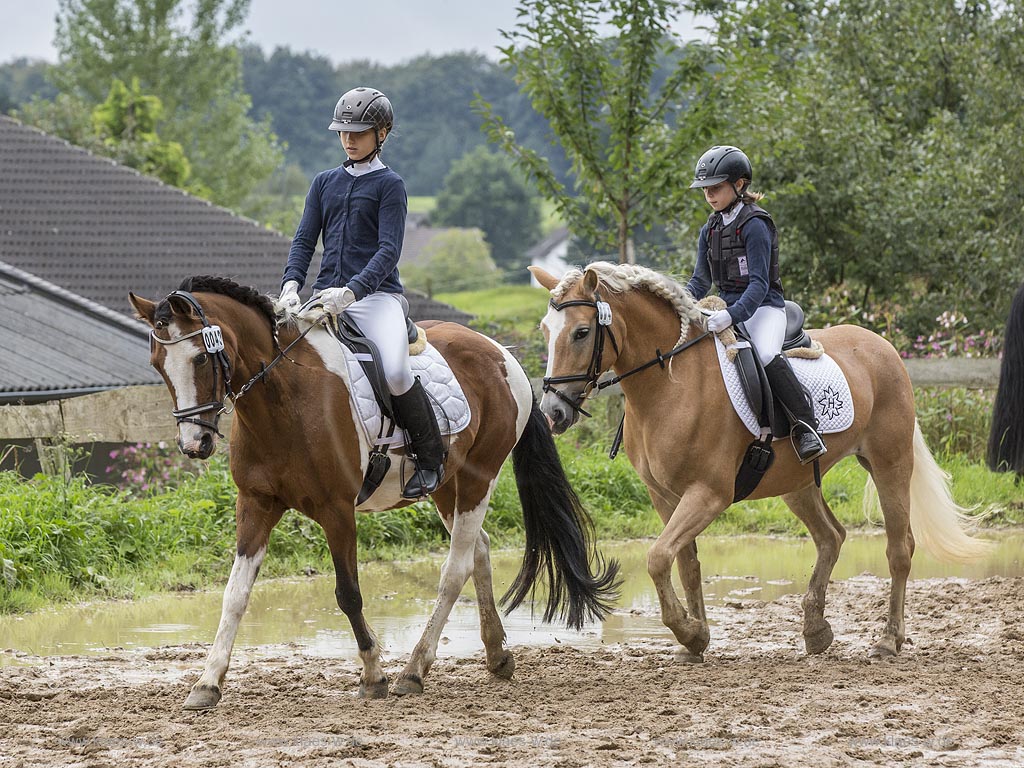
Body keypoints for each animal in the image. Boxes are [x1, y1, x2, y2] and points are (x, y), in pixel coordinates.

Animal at [132, 274, 618, 708]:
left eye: (200, 359)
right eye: (157, 364)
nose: (195, 444)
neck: (284, 397)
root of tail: (501, 352)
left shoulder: (336, 510)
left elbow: (348, 594)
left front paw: (372, 674)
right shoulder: (255, 505)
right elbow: (234, 595)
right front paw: (207, 683)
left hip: (479, 478)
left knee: (455, 568)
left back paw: (413, 672)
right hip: (446, 485)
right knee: (477, 548)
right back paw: (497, 655)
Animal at [532, 262, 995, 663]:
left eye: (582, 332)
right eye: (545, 330)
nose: (552, 412)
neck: (670, 383)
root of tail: (883, 346)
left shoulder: (708, 494)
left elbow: (658, 558)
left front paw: (690, 633)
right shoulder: (664, 496)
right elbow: (685, 564)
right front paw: (694, 642)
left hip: (889, 463)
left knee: (899, 548)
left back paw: (887, 640)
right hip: (797, 484)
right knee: (831, 537)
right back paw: (815, 631)